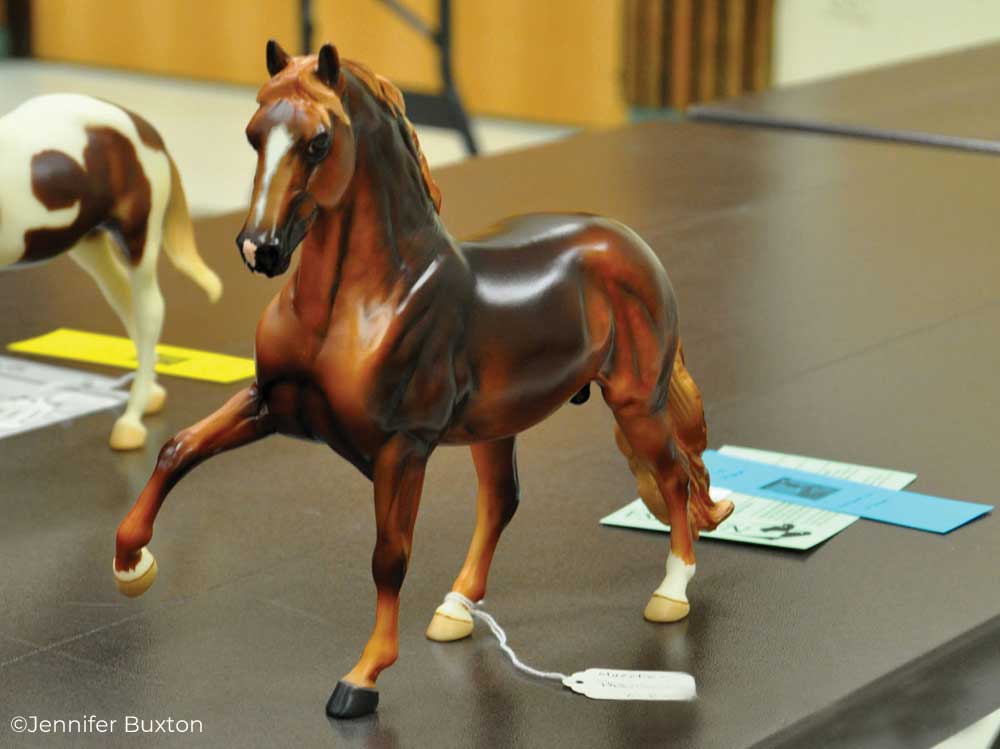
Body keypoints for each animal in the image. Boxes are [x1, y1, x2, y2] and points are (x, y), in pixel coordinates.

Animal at [0, 94, 221, 448]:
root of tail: (147, 131)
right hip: (89, 242)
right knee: (123, 299)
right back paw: (152, 396)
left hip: (139, 238)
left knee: (149, 311)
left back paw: (131, 423)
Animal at [111, 42, 736, 720]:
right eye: (254, 134)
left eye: (319, 142)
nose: (260, 250)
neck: (360, 305)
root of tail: (629, 242)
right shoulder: (269, 405)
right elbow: (178, 450)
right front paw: (131, 565)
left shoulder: (402, 447)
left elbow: (389, 557)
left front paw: (361, 679)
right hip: (497, 426)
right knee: (502, 502)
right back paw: (454, 610)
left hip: (635, 402)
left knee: (675, 477)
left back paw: (670, 593)